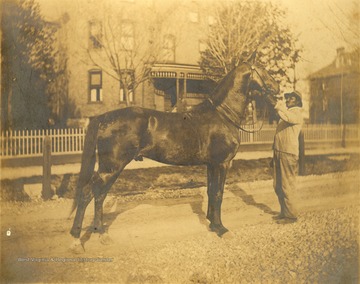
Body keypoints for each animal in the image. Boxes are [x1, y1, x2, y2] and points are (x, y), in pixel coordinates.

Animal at [69, 52, 278, 251]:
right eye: (262, 68)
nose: (276, 89)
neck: (222, 114)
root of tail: (103, 118)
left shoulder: (211, 165)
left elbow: (211, 192)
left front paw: (212, 224)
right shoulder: (222, 163)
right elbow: (218, 194)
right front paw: (221, 229)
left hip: (111, 169)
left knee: (99, 196)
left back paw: (101, 234)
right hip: (111, 168)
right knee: (87, 194)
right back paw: (76, 240)